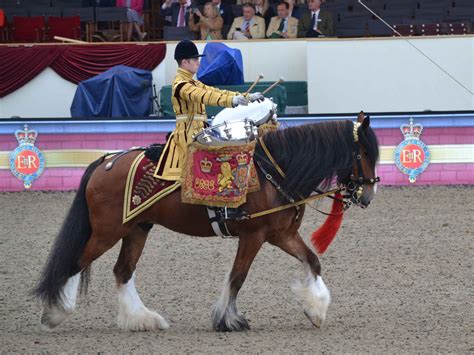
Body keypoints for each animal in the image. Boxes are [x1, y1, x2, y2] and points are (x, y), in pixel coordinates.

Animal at [33, 112, 380, 334]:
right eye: (364, 152)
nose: (368, 195)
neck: (274, 172)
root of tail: (106, 160)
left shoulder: (281, 234)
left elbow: (313, 261)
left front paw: (316, 310)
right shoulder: (254, 235)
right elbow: (237, 277)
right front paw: (228, 320)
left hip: (137, 229)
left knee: (122, 272)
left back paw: (141, 319)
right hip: (107, 232)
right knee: (76, 262)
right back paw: (56, 312)